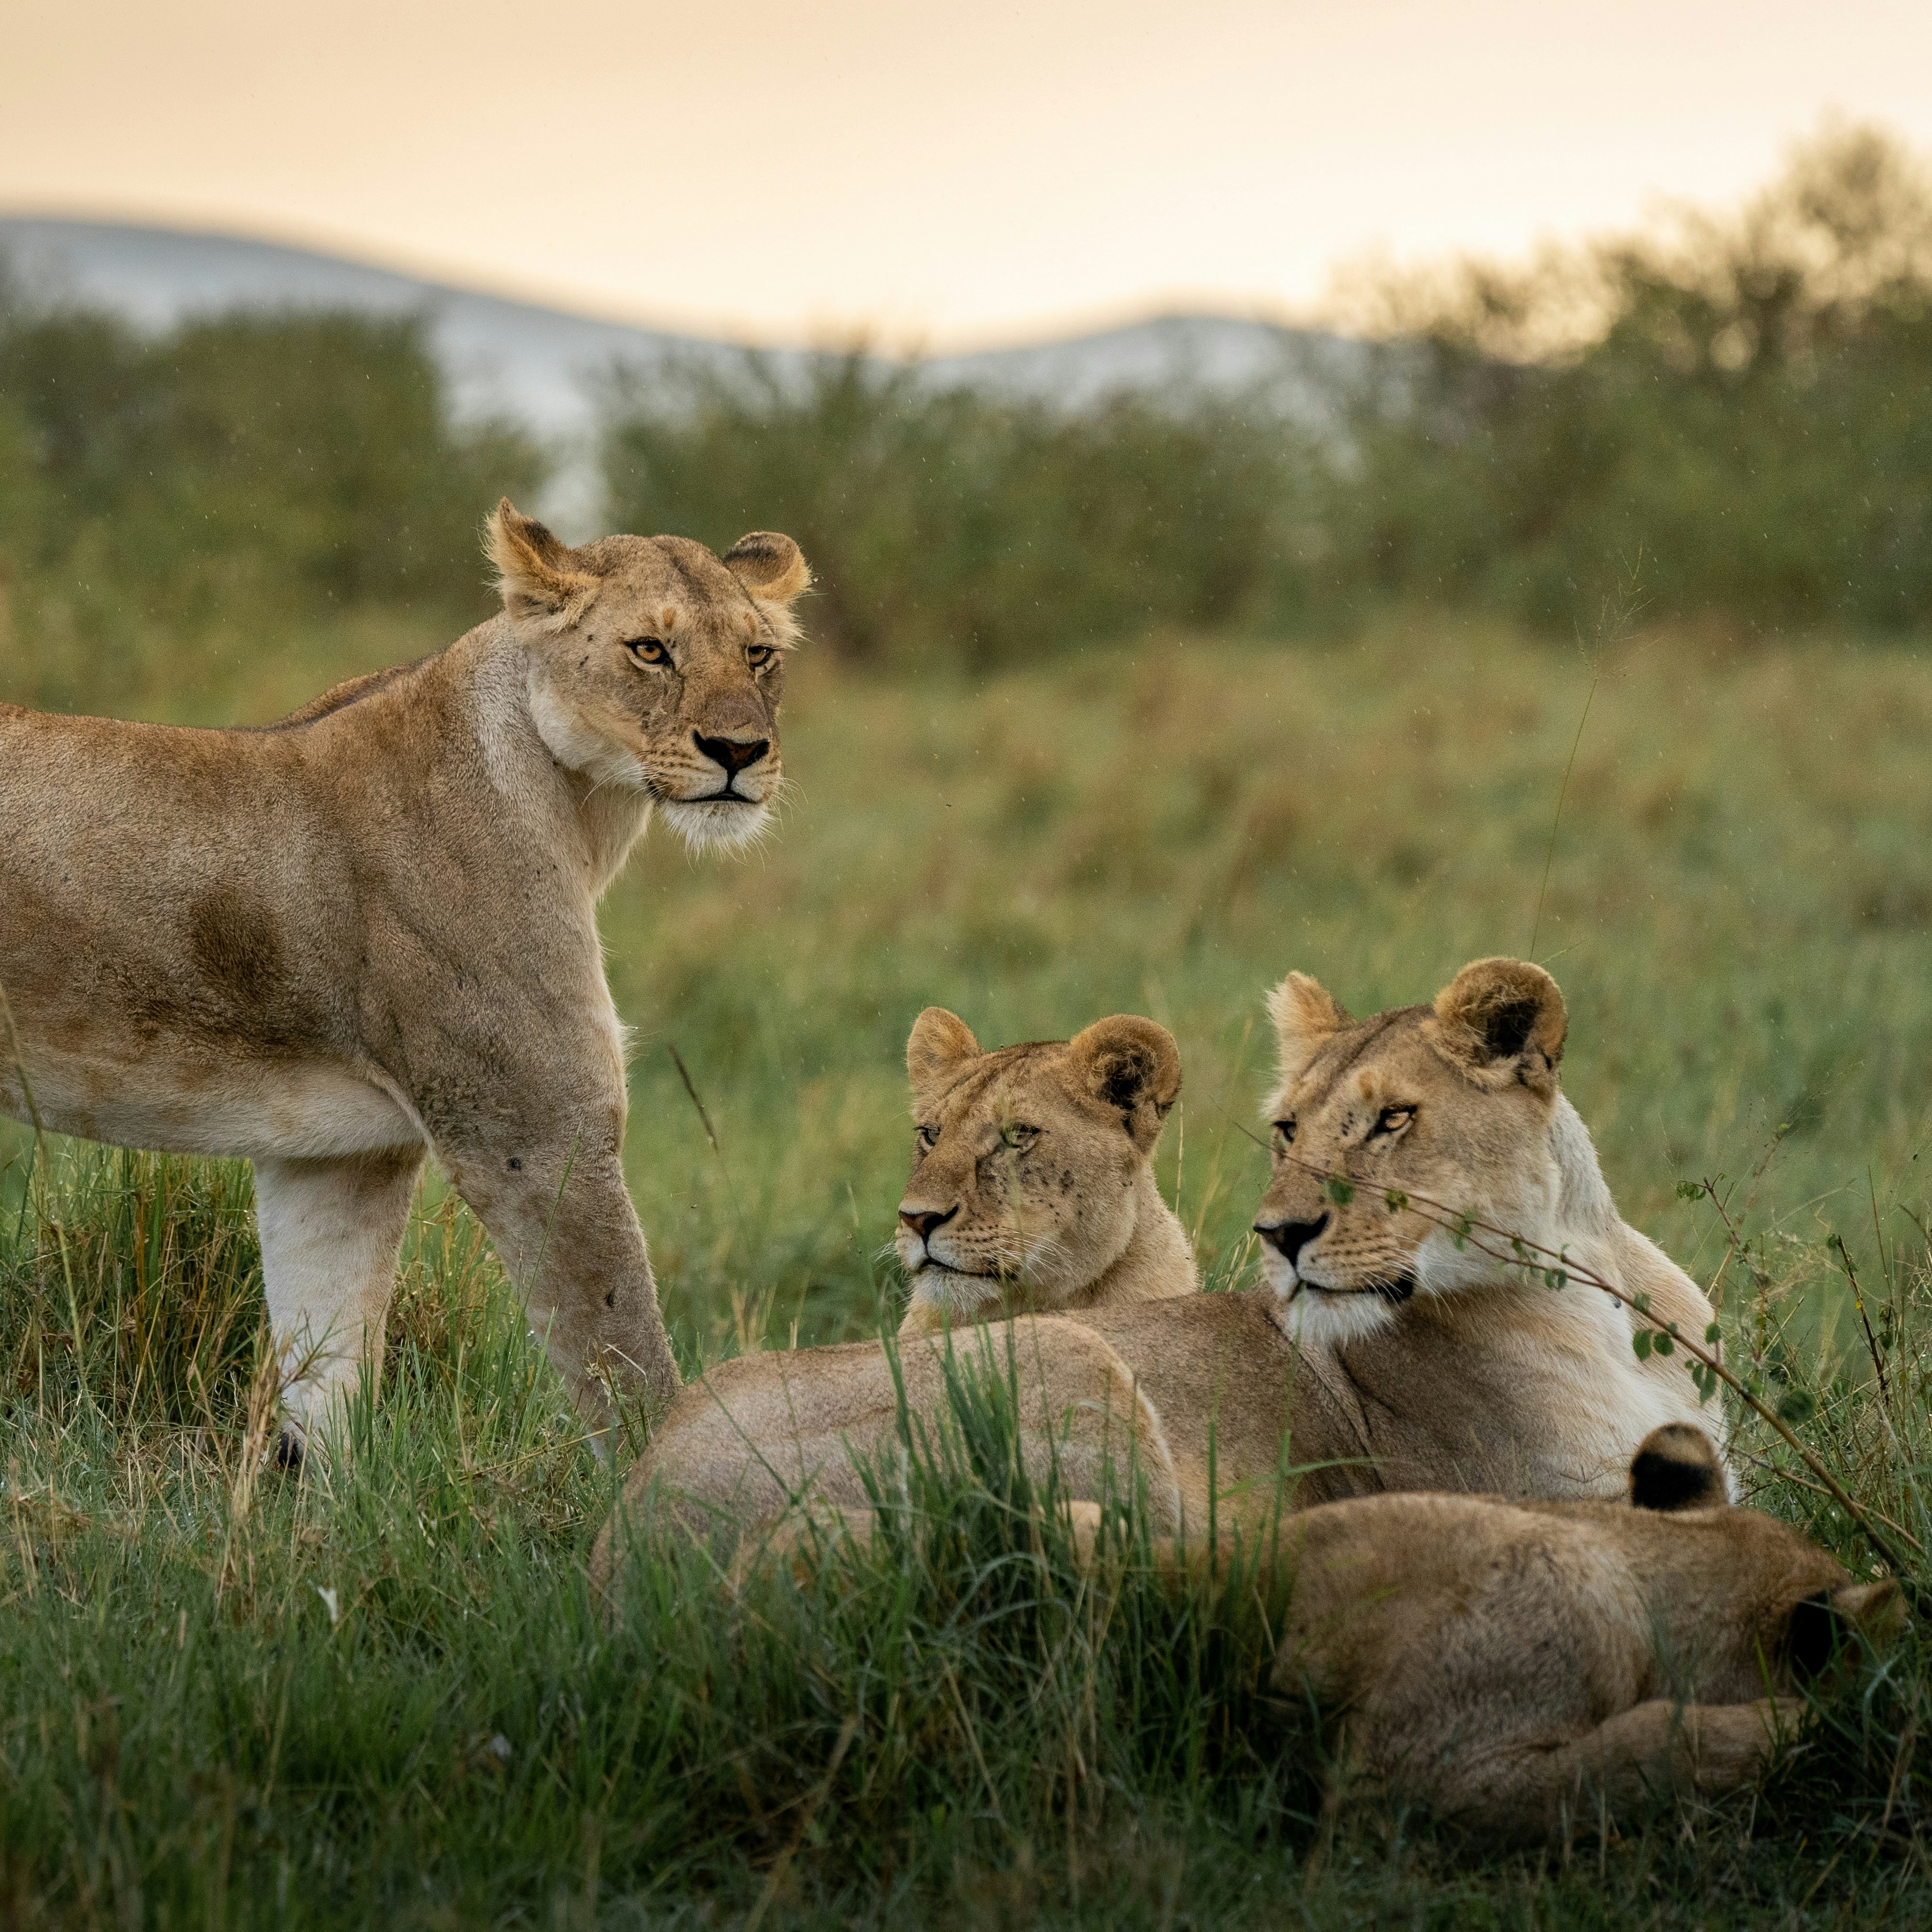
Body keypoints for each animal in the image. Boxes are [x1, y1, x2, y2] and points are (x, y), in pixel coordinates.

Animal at [0, 501, 810, 1459]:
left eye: (757, 654)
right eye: (650, 649)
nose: (739, 749)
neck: (580, 815)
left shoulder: (337, 1159)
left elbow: (328, 1373)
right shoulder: (534, 1132)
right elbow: (627, 1364)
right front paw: (673, 1490)